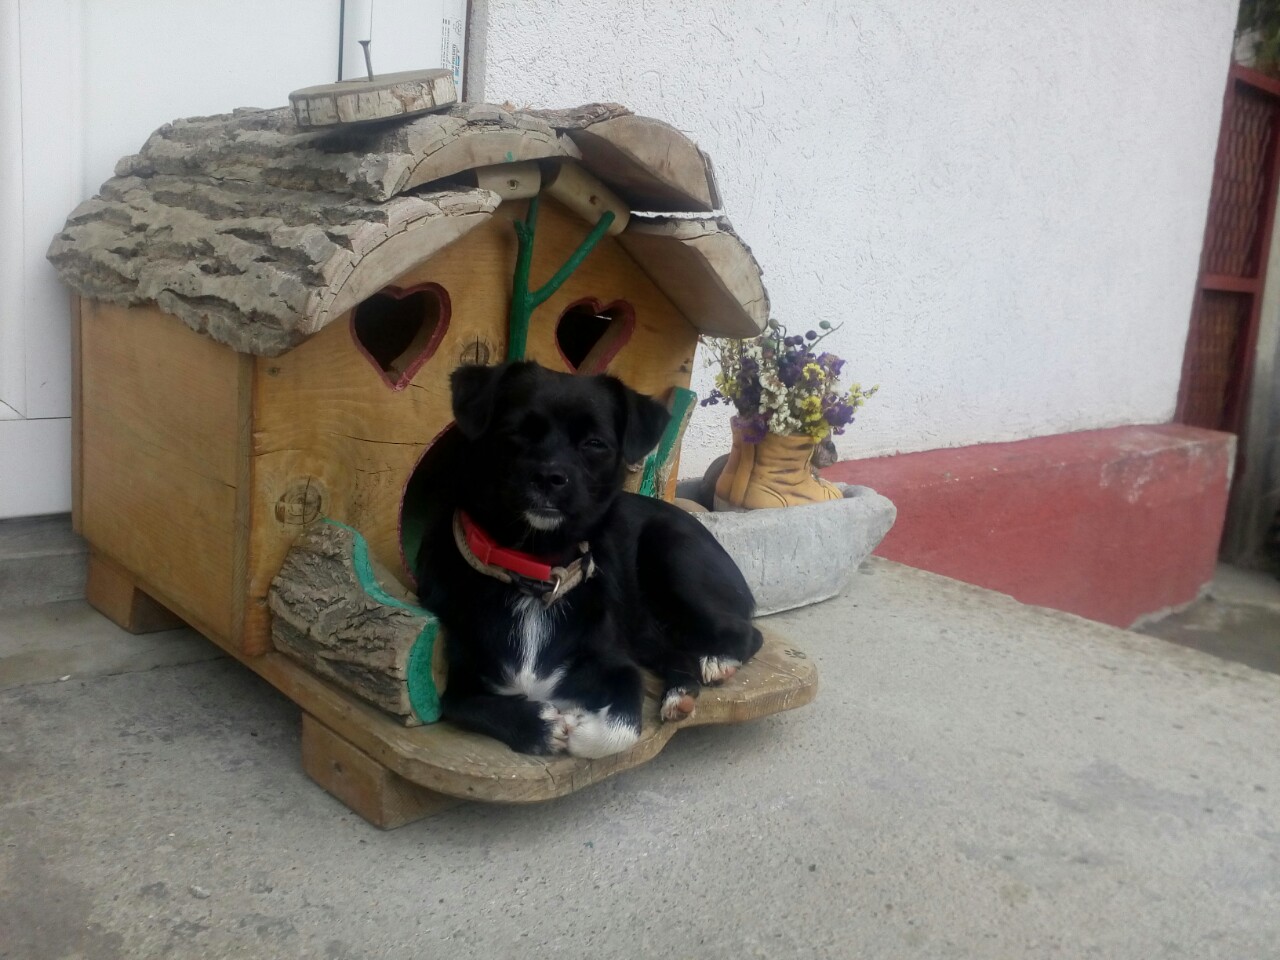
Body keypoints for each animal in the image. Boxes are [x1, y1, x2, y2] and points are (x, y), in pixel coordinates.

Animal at [414, 360, 762, 757]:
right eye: (516, 431)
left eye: (594, 443)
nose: (549, 477)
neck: (538, 571)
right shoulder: (461, 680)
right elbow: (464, 705)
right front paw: (540, 726)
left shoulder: (619, 666)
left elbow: (621, 727)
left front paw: (579, 727)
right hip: (644, 626)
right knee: (679, 654)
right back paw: (680, 693)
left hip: (673, 558)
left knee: (746, 633)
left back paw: (717, 662)